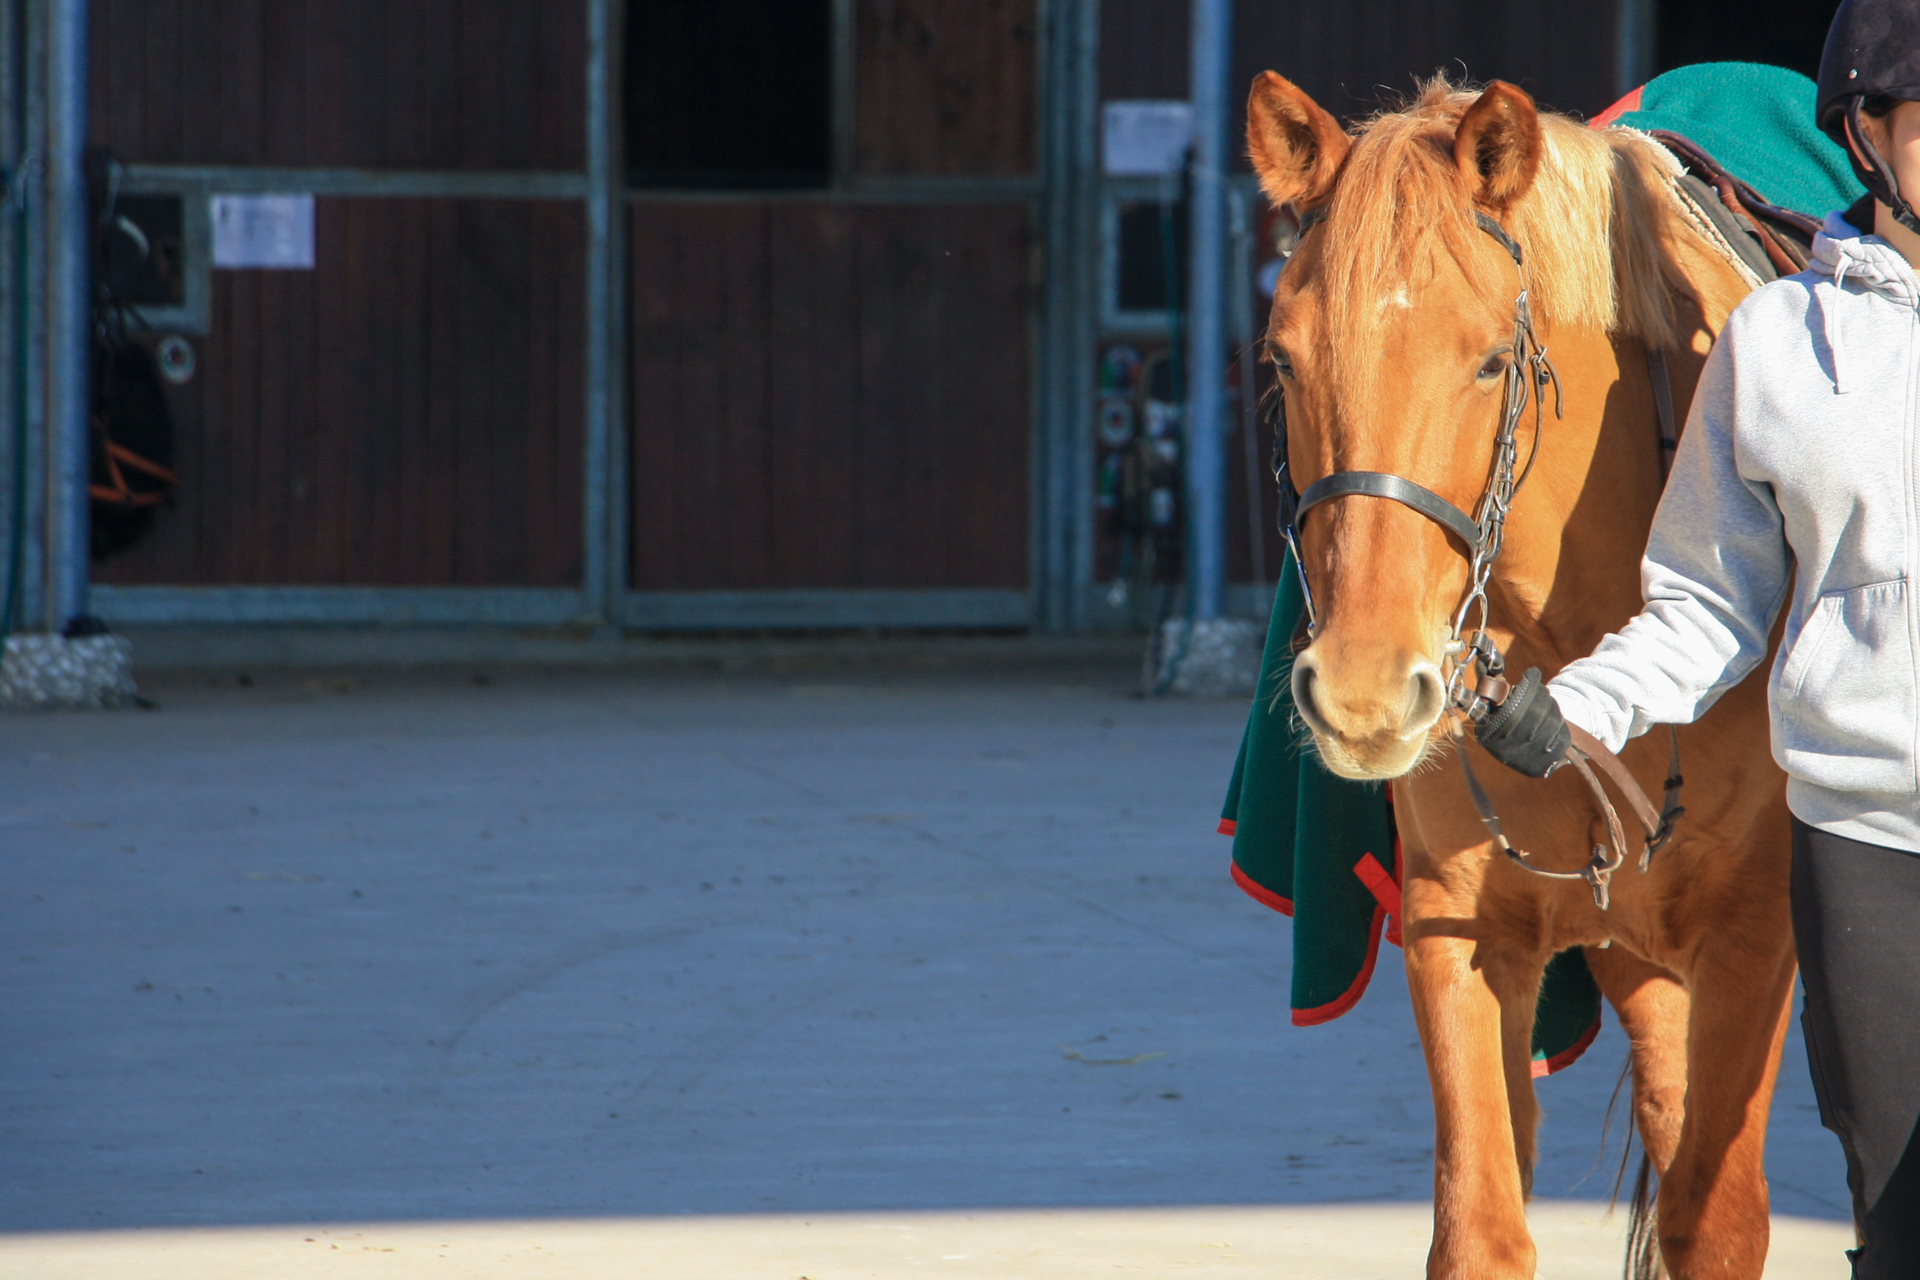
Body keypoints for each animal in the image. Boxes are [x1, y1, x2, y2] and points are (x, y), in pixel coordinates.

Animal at [1247, 74, 1794, 1279]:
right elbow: (1481, 1225)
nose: (1363, 689)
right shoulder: (1460, 929)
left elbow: (1718, 1217)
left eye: (1492, 359)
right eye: (1282, 358)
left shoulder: (1753, 930)